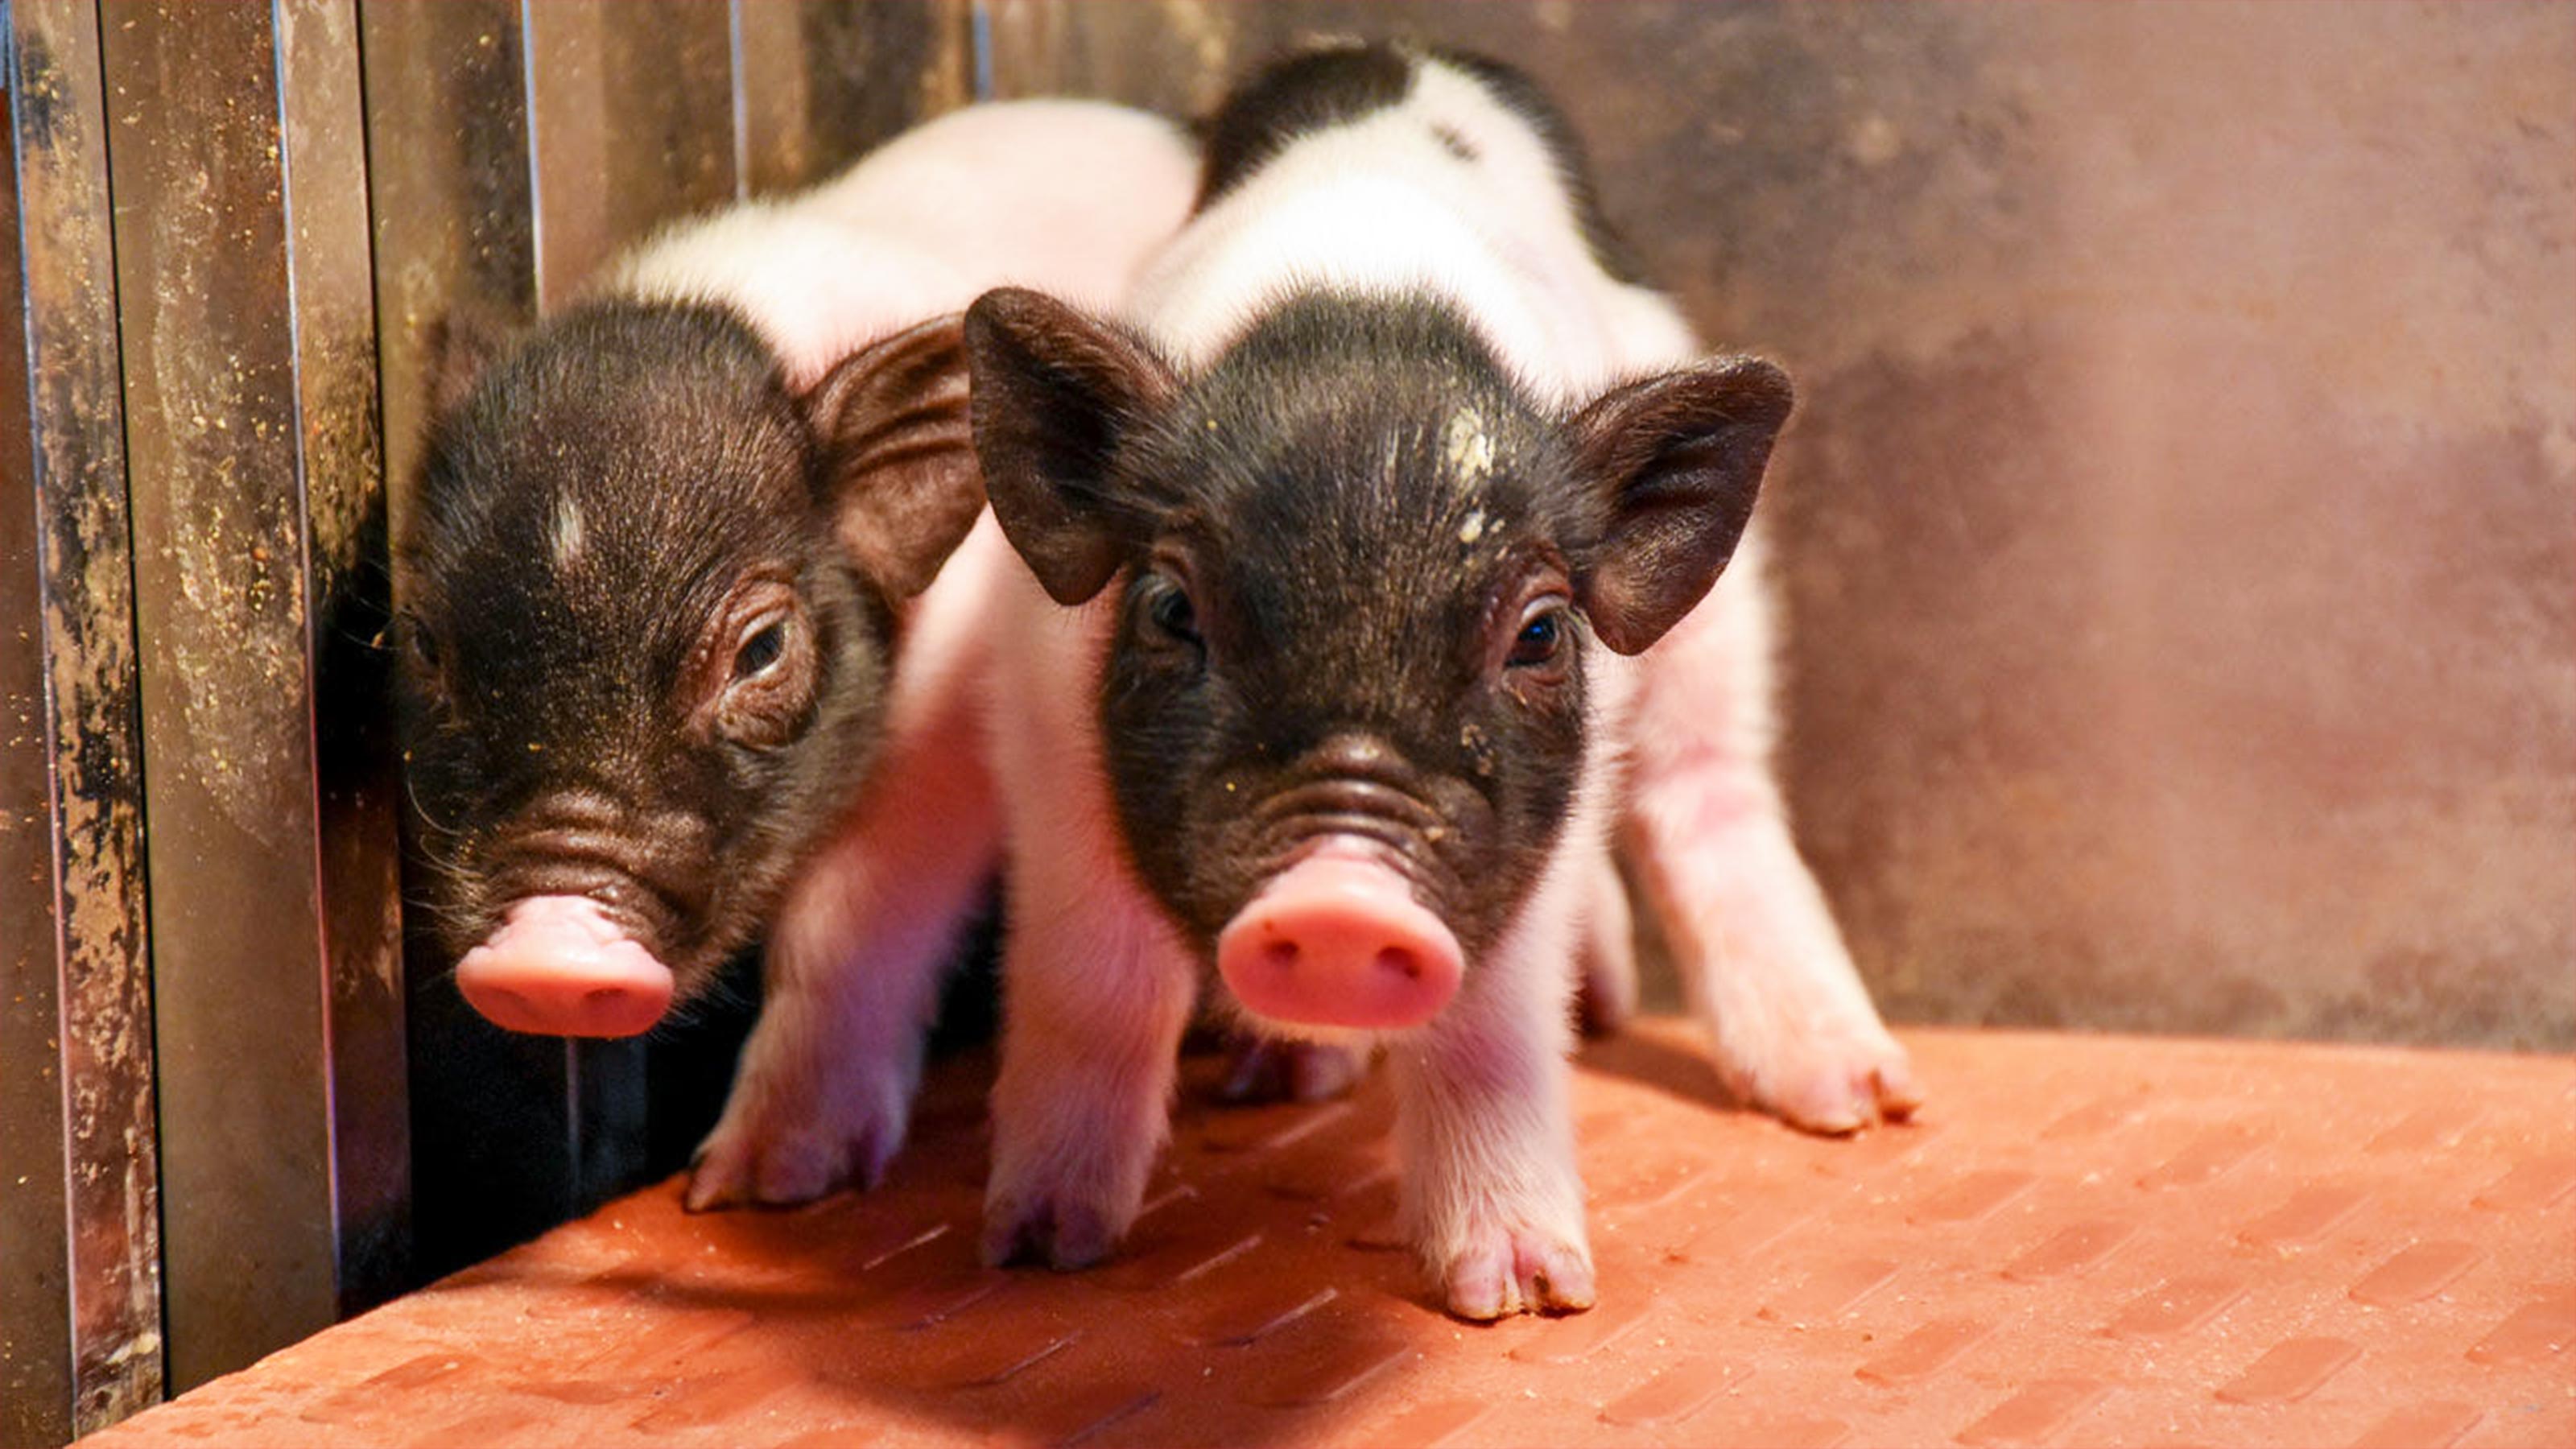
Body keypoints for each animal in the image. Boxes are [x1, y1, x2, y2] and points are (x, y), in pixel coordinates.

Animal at [393, 101, 1200, 1209]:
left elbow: (845, 922)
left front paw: (744, 1187)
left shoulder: (944, 731)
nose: (546, 950)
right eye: (426, 643)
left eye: (761, 649)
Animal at [957, 42, 1921, 1319]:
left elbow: (1496, 1029)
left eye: (1538, 634)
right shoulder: (1043, 727)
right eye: (1170, 609)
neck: (1367, 331)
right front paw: (1040, 1250)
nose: (1338, 899)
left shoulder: (1539, 822)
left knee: (1712, 794)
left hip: (1719, 638)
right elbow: (1090, 981)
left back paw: (1858, 1102)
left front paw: (1525, 1297)